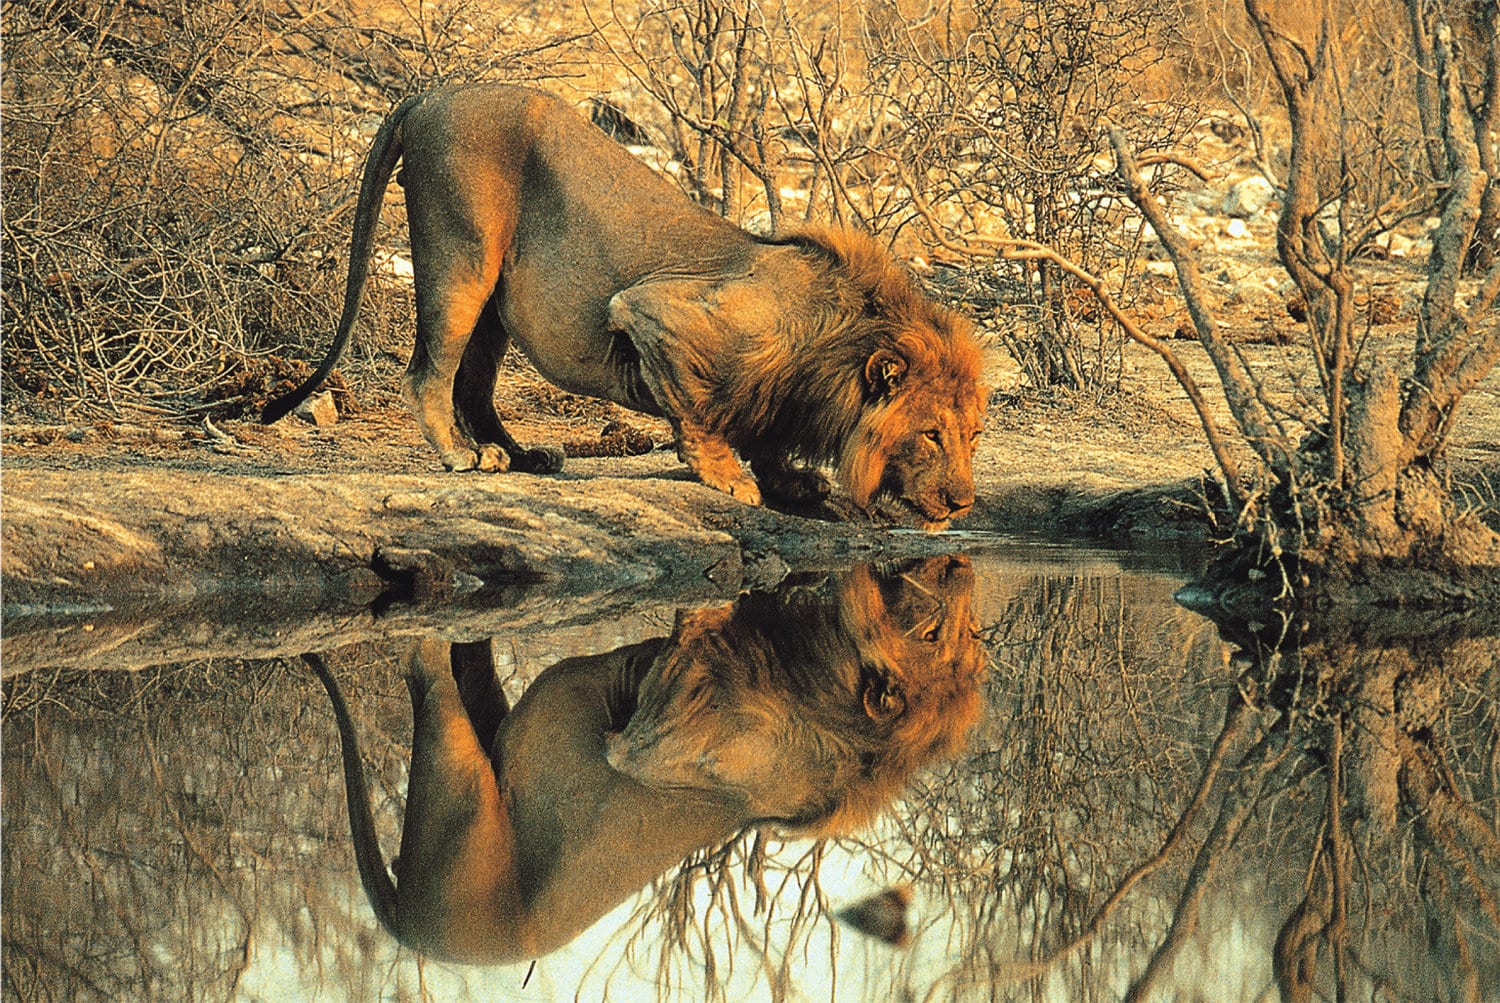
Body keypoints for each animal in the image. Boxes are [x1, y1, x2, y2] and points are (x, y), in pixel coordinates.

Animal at [262, 84, 985, 528]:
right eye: (930, 434)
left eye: (973, 437)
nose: (963, 501)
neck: (830, 345)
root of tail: (430, 94)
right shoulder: (653, 309)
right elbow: (699, 411)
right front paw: (729, 478)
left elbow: (764, 434)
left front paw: (793, 481)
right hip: (460, 256)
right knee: (426, 375)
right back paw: (461, 455)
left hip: (495, 297)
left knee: (474, 386)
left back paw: (520, 455)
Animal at [306, 556, 984, 964]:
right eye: (939, 634)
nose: (957, 564)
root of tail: (408, 932)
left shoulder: (659, 726)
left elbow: (679, 669)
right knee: (470, 657)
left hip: (457, 782)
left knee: (428, 670)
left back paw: (421, 618)